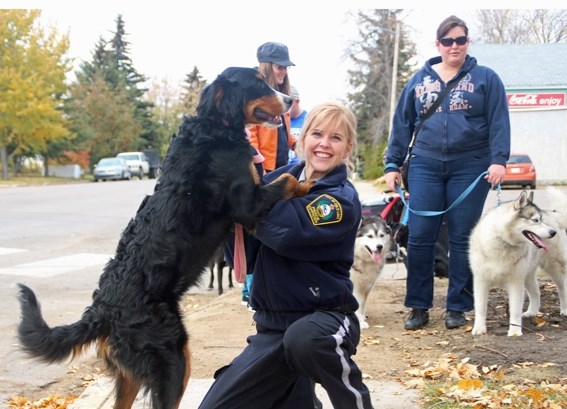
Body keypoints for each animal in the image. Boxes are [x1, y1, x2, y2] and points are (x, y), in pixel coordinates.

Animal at [15, 67, 312, 408]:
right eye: (259, 83)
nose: (289, 100)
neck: (214, 126)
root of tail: (103, 309)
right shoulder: (248, 205)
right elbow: (287, 178)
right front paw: (311, 181)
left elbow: (284, 176)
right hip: (173, 357)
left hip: (135, 371)